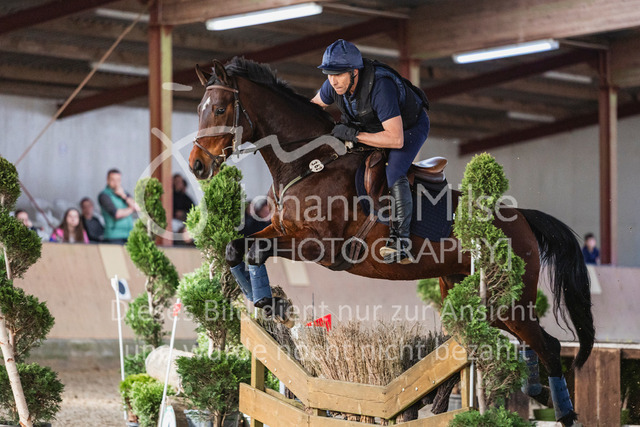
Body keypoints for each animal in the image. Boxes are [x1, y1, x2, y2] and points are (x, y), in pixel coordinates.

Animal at [188, 57, 594, 426]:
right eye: (199, 109)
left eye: (221, 109)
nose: (197, 165)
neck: (309, 162)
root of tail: (522, 217)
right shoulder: (281, 230)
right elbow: (235, 247)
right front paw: (266, 301)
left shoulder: (318, 246)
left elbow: (255, 250)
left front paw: (268, 301)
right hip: (470, 296)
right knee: (489, 341)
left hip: (507, 299)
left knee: (548, 345)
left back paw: (562, 411)